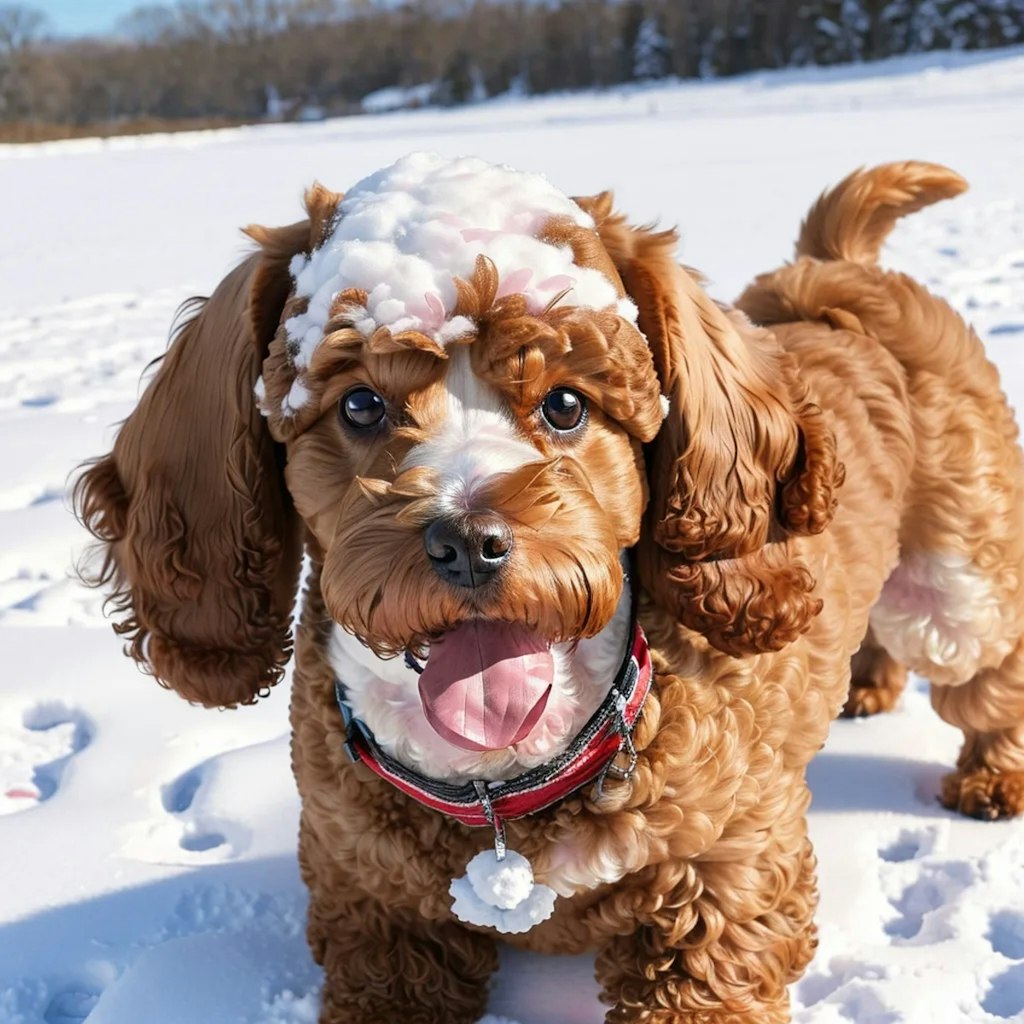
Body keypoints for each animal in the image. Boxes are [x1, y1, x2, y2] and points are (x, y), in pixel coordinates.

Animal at [74, 153, 1024, 1024]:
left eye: (567, 405)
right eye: (360, 406)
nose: (469, 541)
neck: (503, 793)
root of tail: (835, 268)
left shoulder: (723, 883)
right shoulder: (373, 909)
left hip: (957, 581)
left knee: (985, 668)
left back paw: (993, 777)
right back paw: (865, 686)